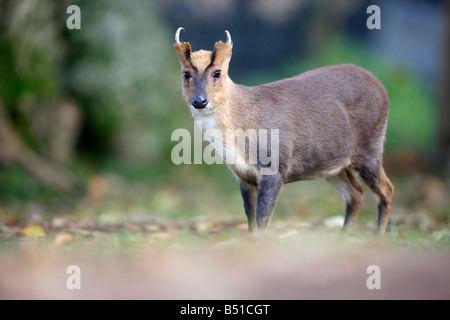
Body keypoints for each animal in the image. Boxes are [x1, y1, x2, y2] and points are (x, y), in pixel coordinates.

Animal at [173, 28, 394, 234]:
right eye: (186, 74)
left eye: (217, 73)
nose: (200, 100)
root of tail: (382, 88)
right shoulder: (242, 175)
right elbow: (250, 218)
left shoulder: (275, 165)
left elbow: (262, 218)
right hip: (332, 164)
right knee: (356, 192)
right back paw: (344, 234)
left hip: (371, 146)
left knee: (386, 188)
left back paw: (377, 235)